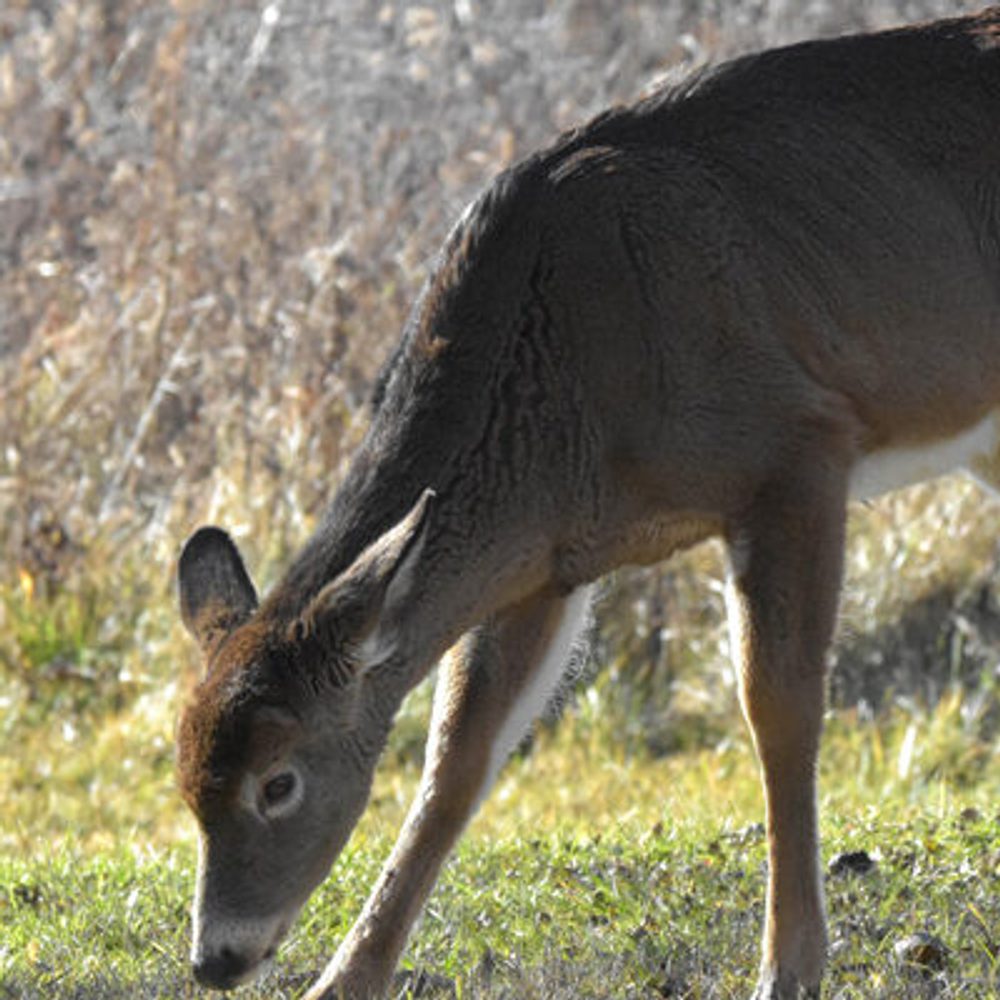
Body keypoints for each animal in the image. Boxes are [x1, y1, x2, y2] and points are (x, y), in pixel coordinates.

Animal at [175, 9, 1000, 999]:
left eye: (278, 781)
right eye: (183, 782)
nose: (216, 957)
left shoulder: (797, 448)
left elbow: (780, 708)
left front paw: (789, 966)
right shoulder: (545, 562)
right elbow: (457, 759)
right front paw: (345, 978)